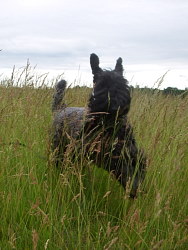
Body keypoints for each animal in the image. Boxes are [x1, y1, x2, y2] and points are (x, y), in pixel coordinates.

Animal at [51, 53, 147, 198]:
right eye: (100, 82)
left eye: (123, 83)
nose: (113, 105)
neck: (108, 125)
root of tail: (61, 108)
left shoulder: (127, 150)